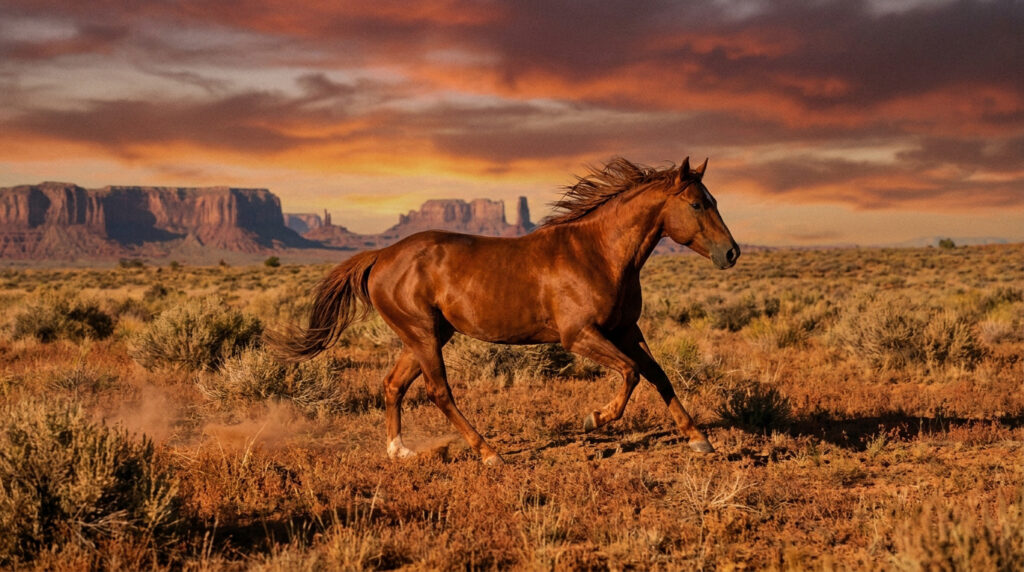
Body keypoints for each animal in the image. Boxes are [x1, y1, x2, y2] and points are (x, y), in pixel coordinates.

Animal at [269, 157, 740, 465]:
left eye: (714, 199)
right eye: (697, 204)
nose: (731, 252)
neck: (598, 253)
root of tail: (382, 255)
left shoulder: (627, 330)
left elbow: (658, 375)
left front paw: (699, 439)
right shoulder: (580, 335)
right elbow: (631, 372)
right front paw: (595, 418)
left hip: (426, 336)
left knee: (393, 385)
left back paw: (399, 450)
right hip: (422, 334)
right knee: (438, 392)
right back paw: (489, 453)